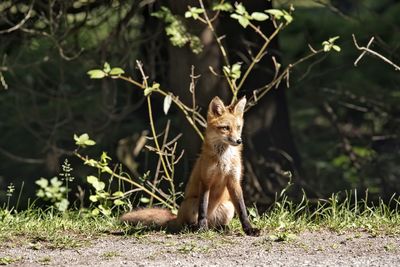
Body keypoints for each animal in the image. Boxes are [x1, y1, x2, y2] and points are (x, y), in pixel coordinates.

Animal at [120, 96, 260, 237]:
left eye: (238, 127)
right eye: (226, 128)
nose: (238, 141)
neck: (223, 160)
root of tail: (176, 217)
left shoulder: (234, 181)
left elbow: (242, 210)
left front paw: (249, 229)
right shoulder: (205, 180)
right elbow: (203, 208)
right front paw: (202, 228)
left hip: (228, 206)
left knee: (216, 225)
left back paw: (222, 228)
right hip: (191, 203)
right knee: (190, 222)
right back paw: (195, 227)